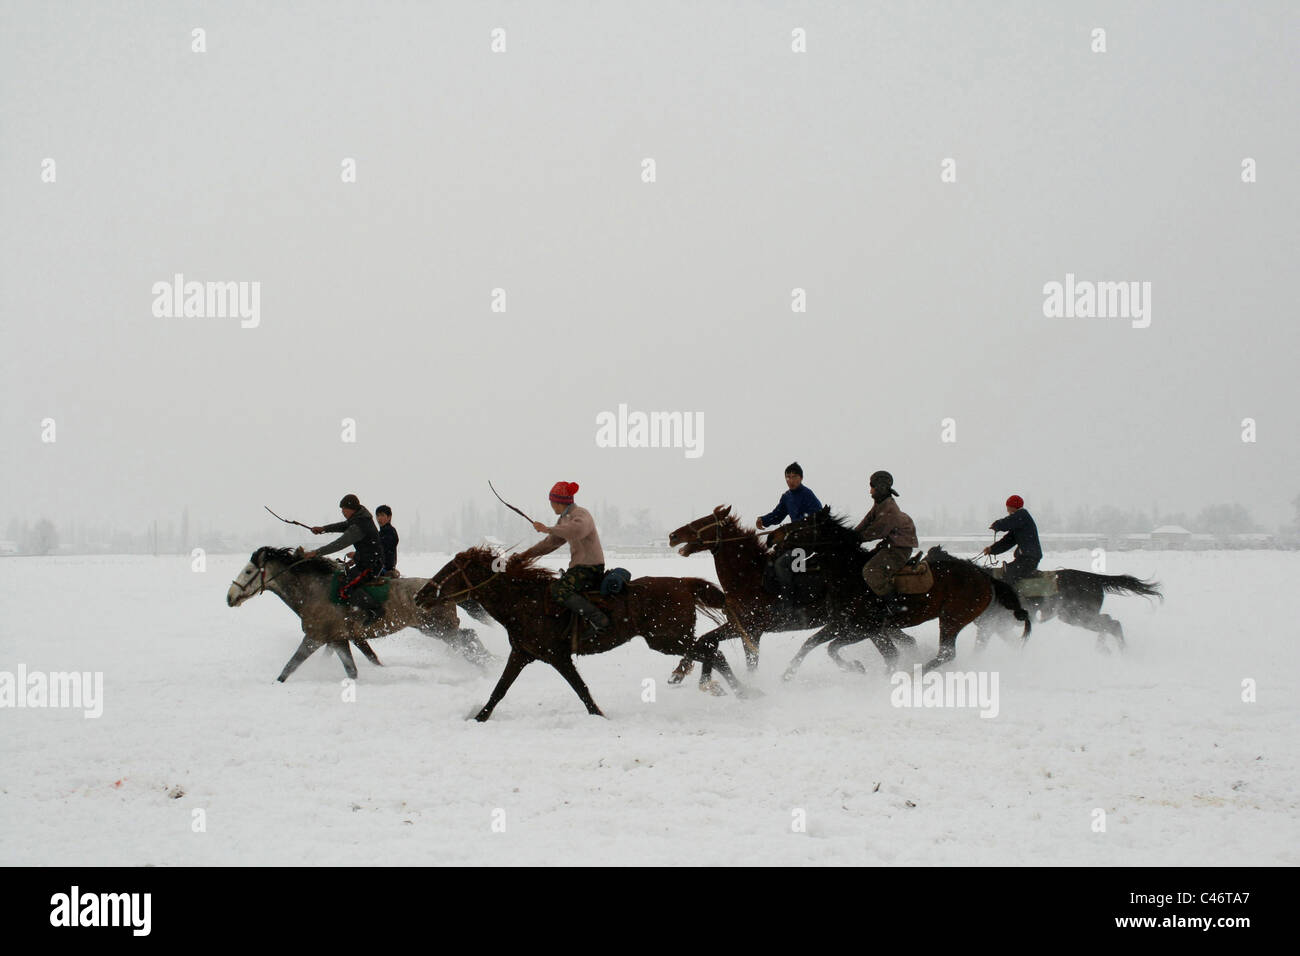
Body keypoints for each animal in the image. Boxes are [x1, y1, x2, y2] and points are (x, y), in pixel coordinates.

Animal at [228, 546, 491, 681]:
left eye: (249, 571)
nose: (230, 597)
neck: (314, 590)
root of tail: (441, 588)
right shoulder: (339, 639)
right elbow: (354, 668)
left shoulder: (315, 638)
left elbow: (290, 667)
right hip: (438, 629)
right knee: (468, 637)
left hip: (439, 629)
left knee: (467, 639)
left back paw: (486, 665)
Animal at [416, 548, 754, 723]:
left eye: (448, 571)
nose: (420, 596)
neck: (525, 601)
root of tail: (684, 582)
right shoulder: (522, 654)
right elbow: (499, 689)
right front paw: (479, 717)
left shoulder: (557, 657)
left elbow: (581, 690)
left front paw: (599, 715)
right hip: (671, 640)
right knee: (711, 650)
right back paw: (742, 691)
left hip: (667, 640)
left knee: (709, 650)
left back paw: (726, 688)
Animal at [670, 504, 925, 691]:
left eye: (702, 522)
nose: (673, 535)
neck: (750, 577)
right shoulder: (739, 625)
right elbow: (705, 639)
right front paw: (679, 672)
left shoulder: (752, 630)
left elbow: (748, 661)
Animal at [764, 512, 1029, 676]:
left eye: (800, 524)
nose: (771, 539)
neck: (849, 573)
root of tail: (985, 576)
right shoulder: (843, 624)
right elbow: (812, 643)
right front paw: (787, 675)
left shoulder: (865, 628)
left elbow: (837, 648)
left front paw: (861, 668)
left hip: (952, 619)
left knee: (946, 653)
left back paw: (912, 674)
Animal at [972, 564, 1164, 655]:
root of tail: (1096, 578)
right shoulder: (998, 627)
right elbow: (1012, 643)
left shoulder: (989, 626)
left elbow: (980, 647)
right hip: (1077, 616)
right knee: (1108, 621)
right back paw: (1105, 649)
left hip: (1076, 615)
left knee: (1112, 624)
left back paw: (1123, 652)